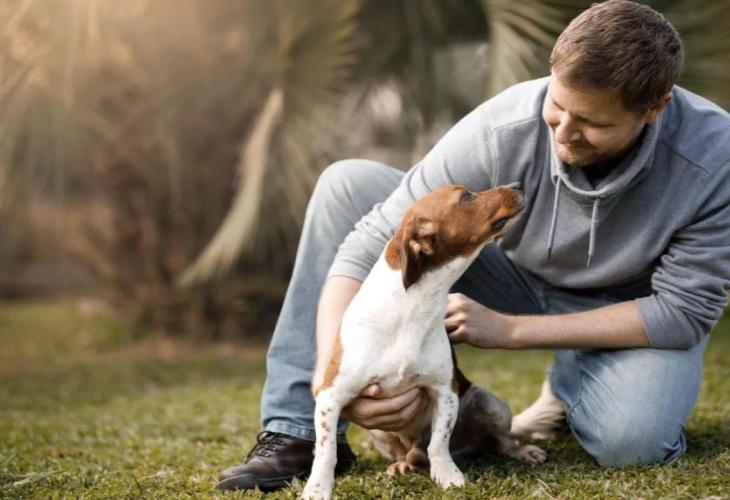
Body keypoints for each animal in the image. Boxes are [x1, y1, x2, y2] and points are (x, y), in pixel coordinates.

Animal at [302, 183, 544, 500]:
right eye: (466, 196)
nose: (517, 185)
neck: (414, 307)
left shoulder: (445, 391)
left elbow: (438, 443)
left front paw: (448, 477)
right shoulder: (330, 397)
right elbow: (325, 451)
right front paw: (317, 488)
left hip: (493, 405)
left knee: (499, 441)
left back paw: (522, 451)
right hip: (376, 430)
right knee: (405, 453)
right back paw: (401, 465)